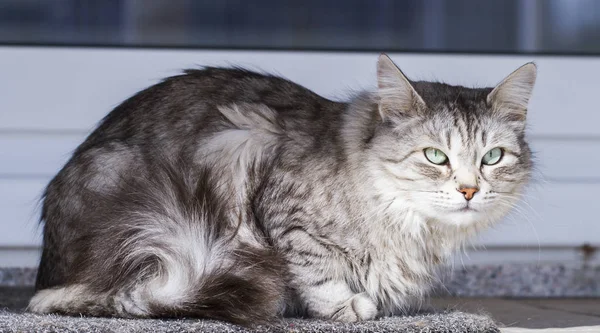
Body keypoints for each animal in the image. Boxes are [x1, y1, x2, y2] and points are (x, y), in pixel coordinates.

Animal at [27, 54, 536, 324]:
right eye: (435, 156)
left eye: (492, 158)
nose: (469, 191)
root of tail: (48, 270)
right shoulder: (278, 202)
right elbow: (313, 267)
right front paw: (344, 305)